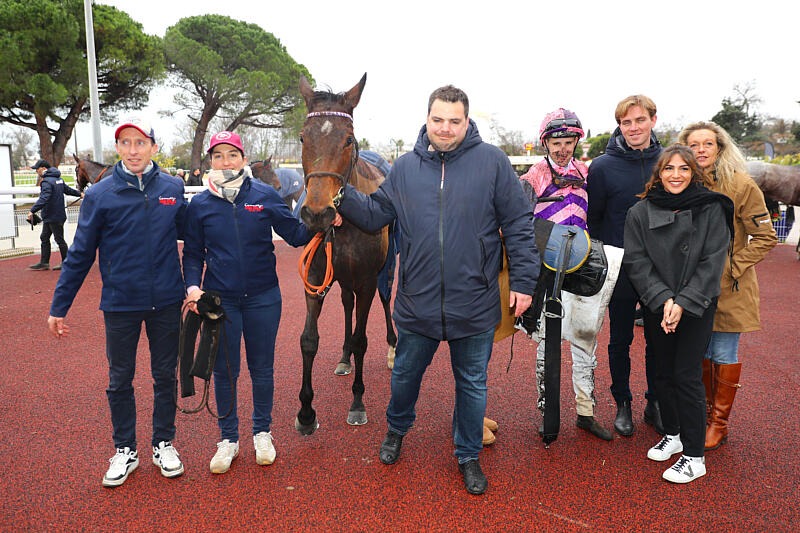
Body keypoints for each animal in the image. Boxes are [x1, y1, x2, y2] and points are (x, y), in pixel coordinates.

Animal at [294, 73, 397, 435]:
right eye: (302, 137)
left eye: (349, 140)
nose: (317, 213)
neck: (347, 224)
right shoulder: (314, 278)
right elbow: (309, 339)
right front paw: (306, 412)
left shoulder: (366, 280)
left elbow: (364, 339)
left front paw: (357, 403)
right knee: (347, 304)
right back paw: (343, 356)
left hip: (384, 270)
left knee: (384, 299)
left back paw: (392, 347)